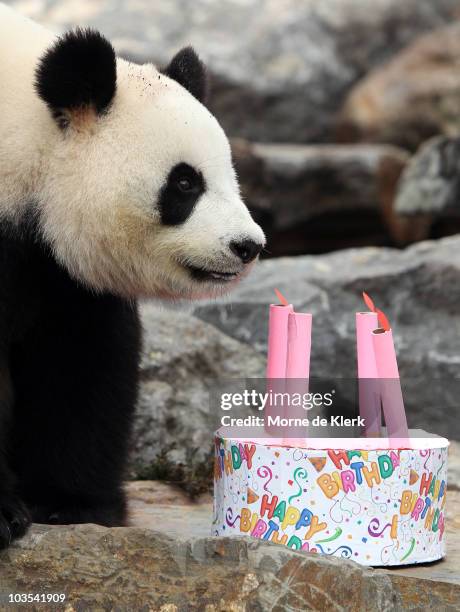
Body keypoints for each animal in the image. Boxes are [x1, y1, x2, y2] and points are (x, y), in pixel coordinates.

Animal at [0, 2, 264, 548]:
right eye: (184, 182)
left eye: (230, 174)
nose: (247, 246)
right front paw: (4, 513)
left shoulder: (62, 272)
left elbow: (79, 363)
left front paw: (70, 503)